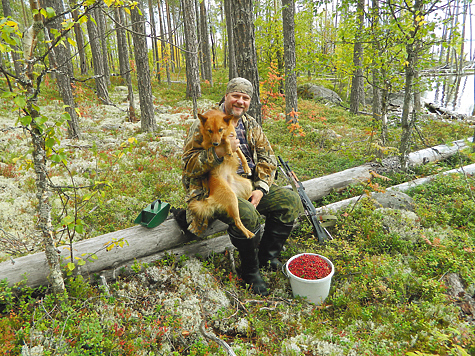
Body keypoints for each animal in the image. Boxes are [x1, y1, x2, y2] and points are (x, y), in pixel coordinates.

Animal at [190, 110, 256, 238]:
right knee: (237, 221)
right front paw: (228, 148)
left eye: (220, 129)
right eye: (210, 130)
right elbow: (225, 141)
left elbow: (241, 154)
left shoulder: (235, 140)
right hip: (231, 197)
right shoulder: (208, 144)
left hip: (246, 186)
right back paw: (249, 233)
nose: (216, 143)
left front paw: (246, 167)